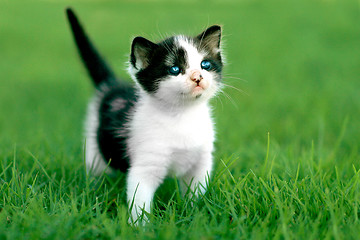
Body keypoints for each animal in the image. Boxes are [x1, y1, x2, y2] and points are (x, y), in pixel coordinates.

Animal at [64, 8, 222, 224]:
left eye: (205, 64)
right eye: (175, 69)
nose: (197, 77)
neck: (182, 115)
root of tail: (112, 85)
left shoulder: (201, 162)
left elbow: (195, 193)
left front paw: (194, 214)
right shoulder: (145, 166)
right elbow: (140, 201)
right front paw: (140, 226)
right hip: (94, 146)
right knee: (97, 170)